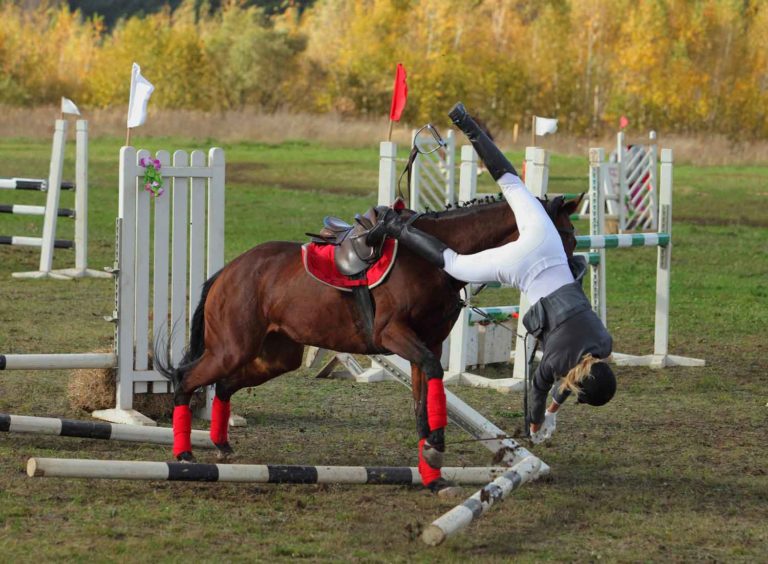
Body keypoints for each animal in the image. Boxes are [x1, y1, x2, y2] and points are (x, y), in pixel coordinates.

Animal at [157, 193, 583, 492]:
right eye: (563, 235)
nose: (573, 275)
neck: (435, 256)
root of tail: (227, 271)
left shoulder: (424, 344)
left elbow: (423, 398)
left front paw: (431, 470)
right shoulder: (392, 335)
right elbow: (432, 377)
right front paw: (436, 446)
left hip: (275, 356)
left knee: (226, 384)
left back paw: (220, 443)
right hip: (233, 348)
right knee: (186, 378)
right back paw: (183, 451)